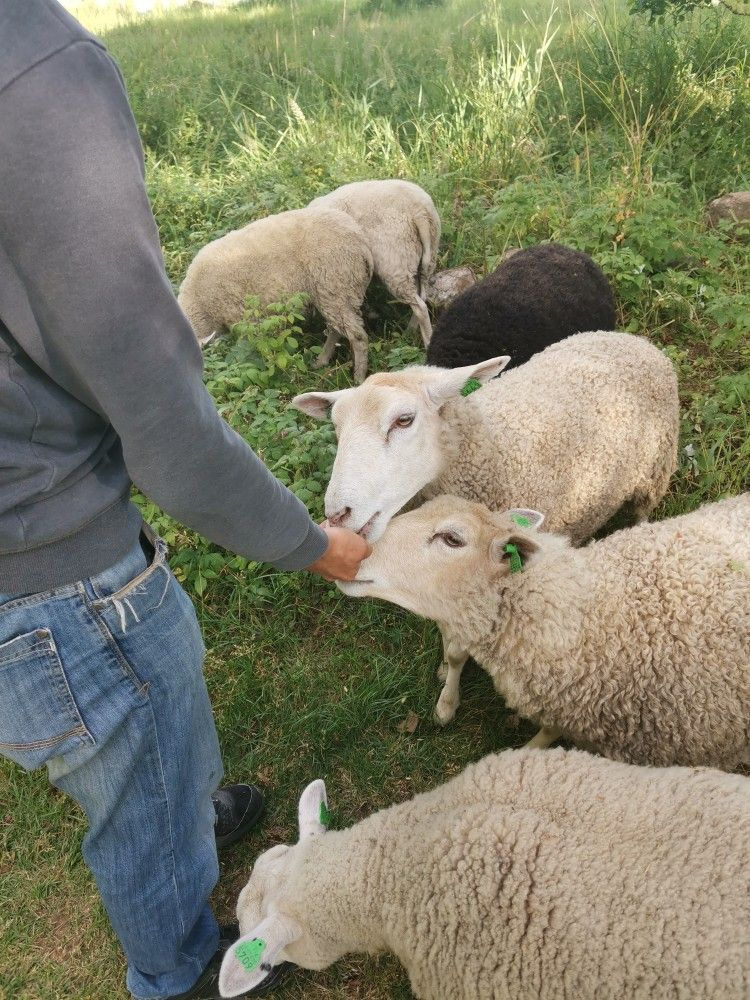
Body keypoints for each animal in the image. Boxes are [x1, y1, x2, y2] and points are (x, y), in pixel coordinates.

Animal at [178, 206, 375, 381]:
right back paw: (322, 361)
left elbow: (255, 347)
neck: (200, 304)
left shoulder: (243, 318)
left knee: (357, 335)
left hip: (335, 284)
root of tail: (360, 240)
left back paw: (358, 377)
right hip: (332, 293)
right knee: (335, 329)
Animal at [293, 331, 679, 695]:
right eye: (337, 427)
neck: (493, 451)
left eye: (404, 420)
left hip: (654, 471)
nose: (337, 514)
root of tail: (630, 339)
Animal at [309, 180, 441, 346]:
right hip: (425, 258)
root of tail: (420, 211)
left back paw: (425, 341)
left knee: (420, 307)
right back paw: (409, 334)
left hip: (395, 263)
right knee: (422, 297)